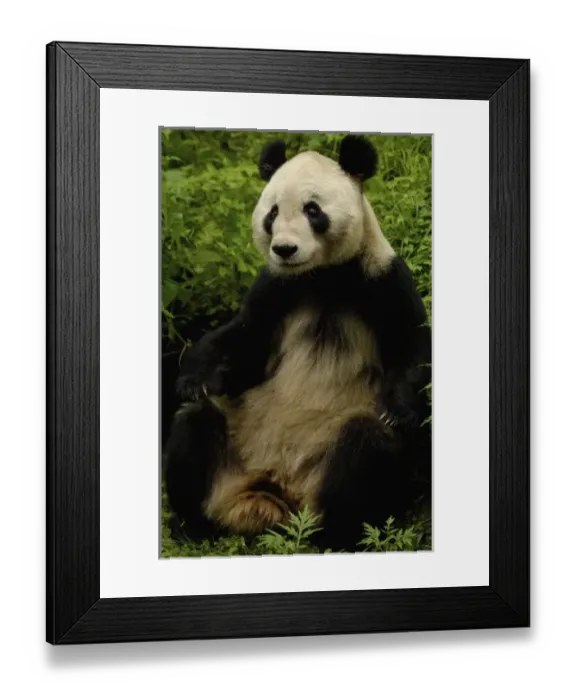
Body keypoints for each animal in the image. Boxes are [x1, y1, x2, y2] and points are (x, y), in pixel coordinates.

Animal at [164, 135, 431, 552]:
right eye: (272, 213)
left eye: (313, 210)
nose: (285, 249)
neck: (322, 277)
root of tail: (274, 498)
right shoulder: (276, 289)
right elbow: (243, 344)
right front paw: (195, 379)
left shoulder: (382, 280)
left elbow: (412, 349)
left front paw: (398, 410)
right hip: (237, 447)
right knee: (195, 424)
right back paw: (193, 526)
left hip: (325, 467)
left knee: (363, 448)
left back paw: (334, 537)